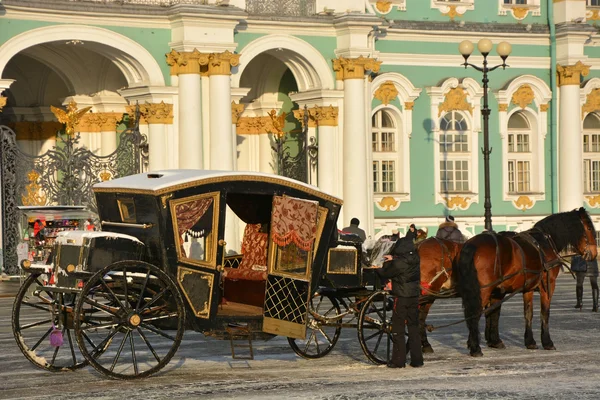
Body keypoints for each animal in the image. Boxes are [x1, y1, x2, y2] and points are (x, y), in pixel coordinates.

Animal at [460, 206, 596, 356]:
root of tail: (471, 245)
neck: (545, 243)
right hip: (483, 291)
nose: (595, 253)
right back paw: (476, 348)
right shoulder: (548, 286)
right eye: (589, 228)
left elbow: (528, 314)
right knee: (474, 314)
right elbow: (545, 313)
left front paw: (530, 342)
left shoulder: (528, 289)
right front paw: (547, 342)